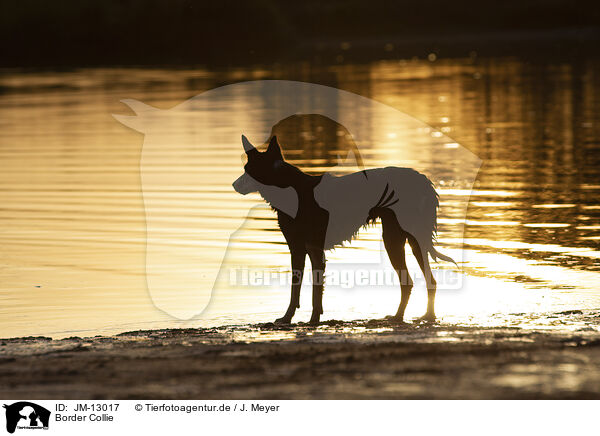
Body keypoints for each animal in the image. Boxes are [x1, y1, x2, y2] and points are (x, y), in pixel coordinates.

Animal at [233, 135, 454, 324]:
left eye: (249, 169)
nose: (234, 185)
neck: (290, 189)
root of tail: (423, 180)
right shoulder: (298, 249)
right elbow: (298, 290)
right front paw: (289, 318)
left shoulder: (312, 250)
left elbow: (313, 292)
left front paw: (311, 321)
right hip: (409, 241)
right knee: (424, 281)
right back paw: (416, 316)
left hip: (395, 240)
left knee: (414, 282)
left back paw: (406, 317)